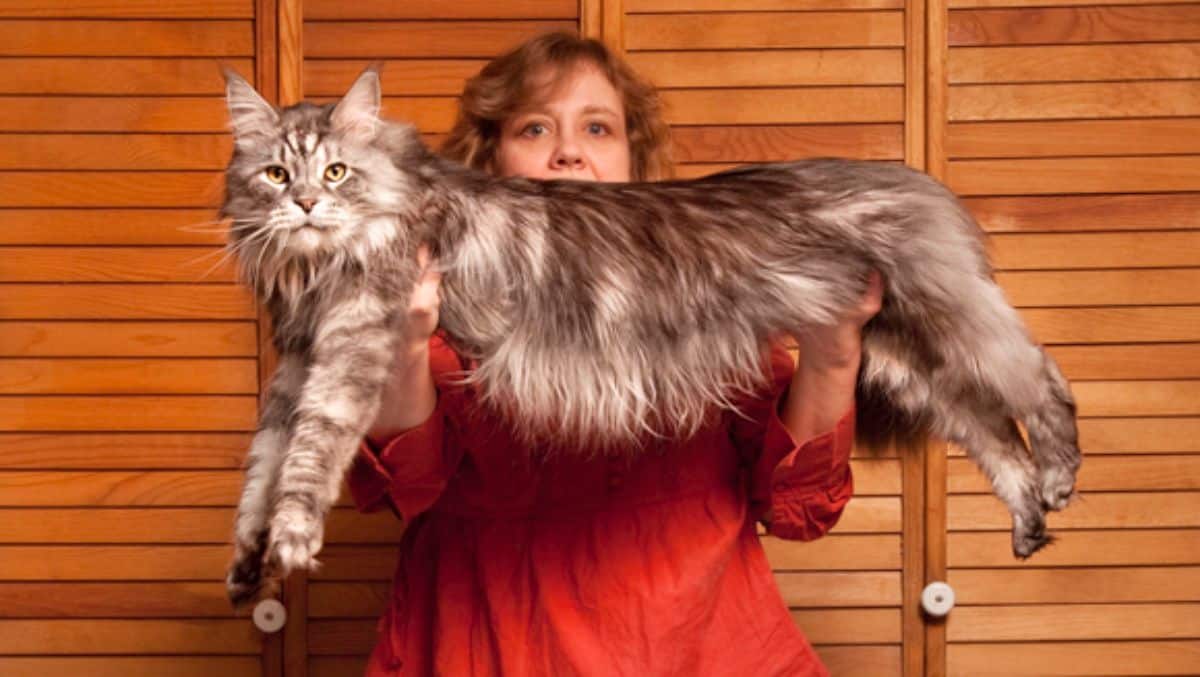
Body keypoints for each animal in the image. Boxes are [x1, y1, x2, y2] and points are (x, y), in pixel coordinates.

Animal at [220, 68, 1084, 604]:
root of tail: (913, 177)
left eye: (335, 172)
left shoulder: (358, 336)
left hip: (949, 318)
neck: (315, 271)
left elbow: (311, 452)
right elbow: (261, 465)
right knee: (991, 434)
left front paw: (290, 539)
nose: (303, 204)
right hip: (903, 357)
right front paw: (247, 559)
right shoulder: (296, 365)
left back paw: (1061, 475)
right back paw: (1029, 516)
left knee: (1041, 379)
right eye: (274, 174)